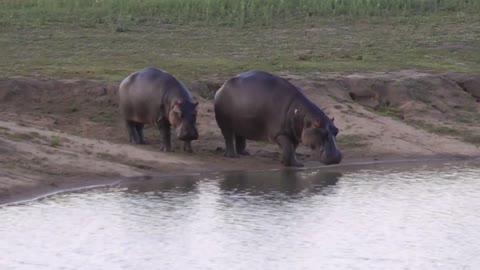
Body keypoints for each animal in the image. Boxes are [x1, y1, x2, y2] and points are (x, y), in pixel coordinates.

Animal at [214, 70, 342, 167]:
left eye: (336, 131)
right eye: (323, 133)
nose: (335, 158)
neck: (305, 119)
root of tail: (222, 86)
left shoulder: (294, 134)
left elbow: (291, 149)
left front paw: (285, 161)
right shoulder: (281, 133)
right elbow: (288, 148)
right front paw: (298, 165)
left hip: (242, 123)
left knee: (240, 137)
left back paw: (245, 153)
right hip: (225, 124)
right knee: (228, 137)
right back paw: (232, 156)